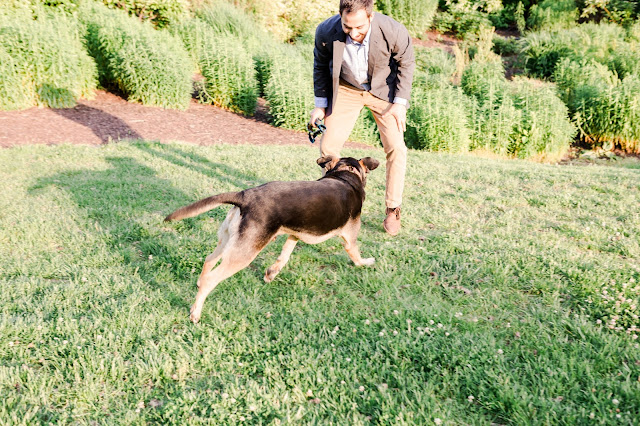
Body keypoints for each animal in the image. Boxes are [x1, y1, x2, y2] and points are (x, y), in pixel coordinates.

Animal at [165, 156, 380, 322]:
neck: (345, 175)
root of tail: (245, 195)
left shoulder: (295, 234)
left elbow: (284, 256)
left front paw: (271, 273)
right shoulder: (350, 239)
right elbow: (357, 256)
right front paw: (366, 262)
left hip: (227, 240)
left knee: (209, 260)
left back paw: (199, 283)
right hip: (244, 253)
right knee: (212, 279)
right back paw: (195, 313)